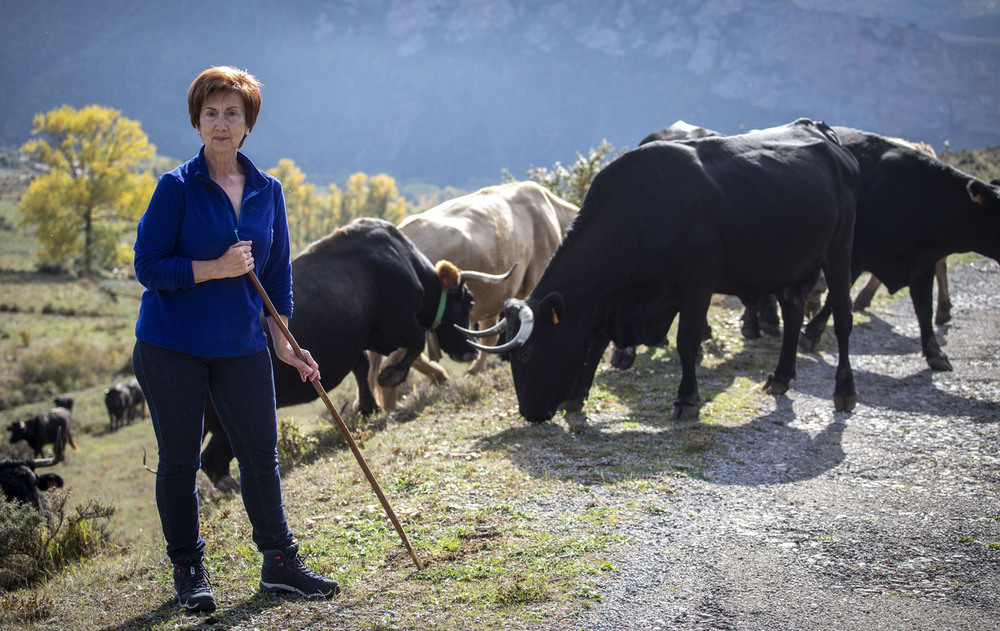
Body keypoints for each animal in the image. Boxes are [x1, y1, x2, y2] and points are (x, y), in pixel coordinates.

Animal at [460, 118, 860, 424]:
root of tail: (820, 130)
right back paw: (780, 377)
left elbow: (687, 342)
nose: (528, 412)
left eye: (526, 355)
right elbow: (597, 342)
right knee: (793, 312)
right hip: (793, 264)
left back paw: (844, 391)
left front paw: (686, 401)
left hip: (839, 251)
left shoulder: (697, 283)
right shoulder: (615, 301)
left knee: (843, 318)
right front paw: (576, 397)